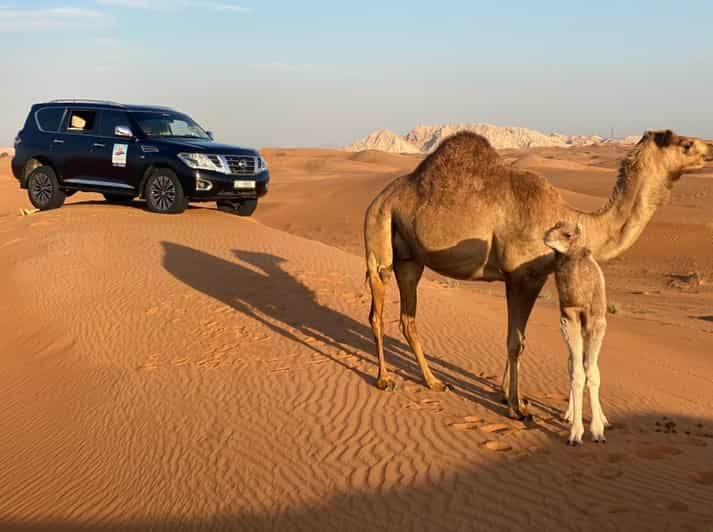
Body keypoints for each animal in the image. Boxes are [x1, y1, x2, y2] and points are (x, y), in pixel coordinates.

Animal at [364, 130, 708, 420]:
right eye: (686, 144)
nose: (711, 149)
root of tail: (379, 197)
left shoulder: (535, 277)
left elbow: (518, 338)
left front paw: (510, 396)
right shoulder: (521, 276)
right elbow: (515, 342)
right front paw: (518, 409)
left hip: (410, 260)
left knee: (408, 319)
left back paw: (434, 382)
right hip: (379, 231)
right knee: (377, 310)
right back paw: (384, 379)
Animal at [544, 220, 608, 444]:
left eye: (568, 234)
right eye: (552, 227)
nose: (546, 236)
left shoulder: (597, 322)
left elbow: (593, 373)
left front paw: (598, 430)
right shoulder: (568, 319)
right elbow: (578, 373)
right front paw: (575, 432)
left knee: (591, 365)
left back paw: (603, 419)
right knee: (573, 364)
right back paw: (569, 414)